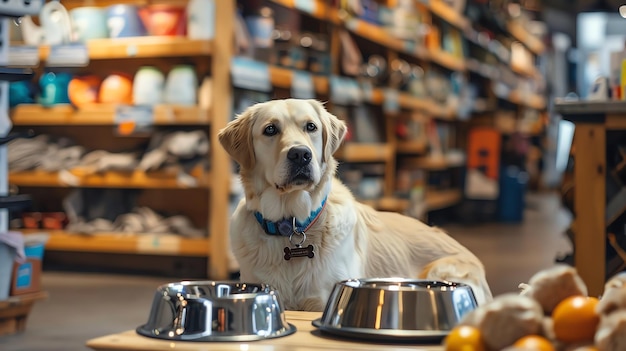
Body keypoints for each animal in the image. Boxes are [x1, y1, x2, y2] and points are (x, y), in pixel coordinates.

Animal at [217, 98, 490, 310]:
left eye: (311, 127)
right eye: (270, 130)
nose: (301, 154)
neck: (293, 224)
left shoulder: (324, 300)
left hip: (441, 270)